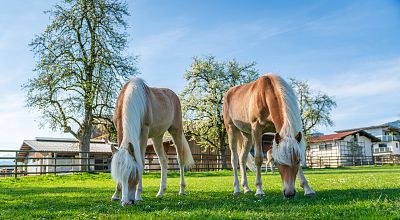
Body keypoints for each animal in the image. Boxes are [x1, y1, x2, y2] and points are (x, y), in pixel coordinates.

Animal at [110, 78, 195, 206]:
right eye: (119, 174)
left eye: (133, 173)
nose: (127, 202)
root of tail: (173, 95)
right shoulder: (119, 129)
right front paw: (116, 195)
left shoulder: (144, 133)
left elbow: (141, 162)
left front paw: (138, 195)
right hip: (157, 137)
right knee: (163, 160)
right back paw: (161, 192)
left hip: (176, 131)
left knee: (180, 160)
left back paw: (182, 190)